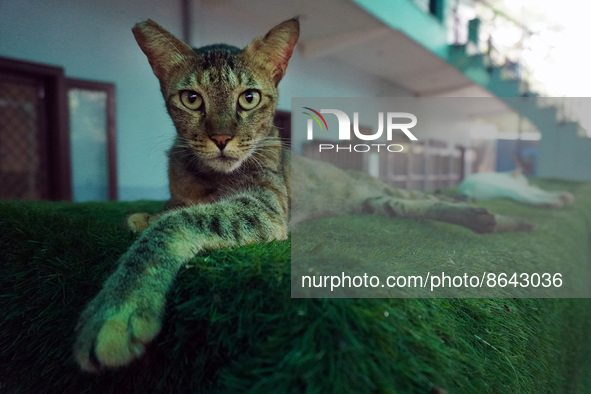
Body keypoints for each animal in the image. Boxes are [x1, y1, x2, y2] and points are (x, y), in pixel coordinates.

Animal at [74, 16, 536, 370]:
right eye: (191, 99)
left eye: (249, 98)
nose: (222, 138)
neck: (210, 178)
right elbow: (173, 207)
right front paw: (145, 214)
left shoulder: (266, 207)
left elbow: (175, 225)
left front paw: (118, 307)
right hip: (381, 203)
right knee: (416, 206)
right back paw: (487, 218)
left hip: (381, 189)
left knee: (431, 199)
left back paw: (504, 214)